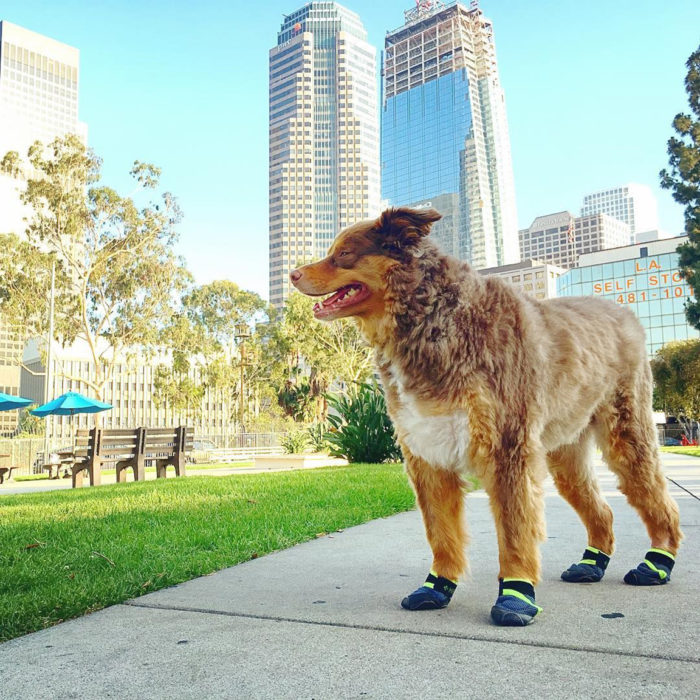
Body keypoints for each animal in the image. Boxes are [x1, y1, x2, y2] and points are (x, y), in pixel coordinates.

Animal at [290, 205, 684, 628]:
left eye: (344, 254)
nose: (293, 274)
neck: (435, 319)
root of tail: (626, 314)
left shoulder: (507, 448)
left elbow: (514, 530)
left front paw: (516, 595)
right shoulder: (427, 453)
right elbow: (441, 531)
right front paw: (437, 587)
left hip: (627, 437)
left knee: (659, 500)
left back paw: (657, 563)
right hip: (567, 456)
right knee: (604, 510)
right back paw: (592, 564)